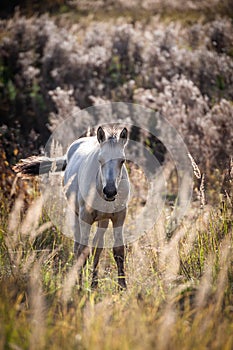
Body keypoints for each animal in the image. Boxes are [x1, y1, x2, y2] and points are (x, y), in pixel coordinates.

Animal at [13, 126, 130, 290]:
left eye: (122, 160)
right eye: (100, 160)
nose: (110, 191)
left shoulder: (119, 216)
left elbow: (118, 251)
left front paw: (122, 288)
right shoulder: (85, 216)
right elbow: (82, 251)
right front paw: (80, 287)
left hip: (103, 219)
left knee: (97, 247)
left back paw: (94, 284)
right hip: (76, 214)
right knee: (78, 247)